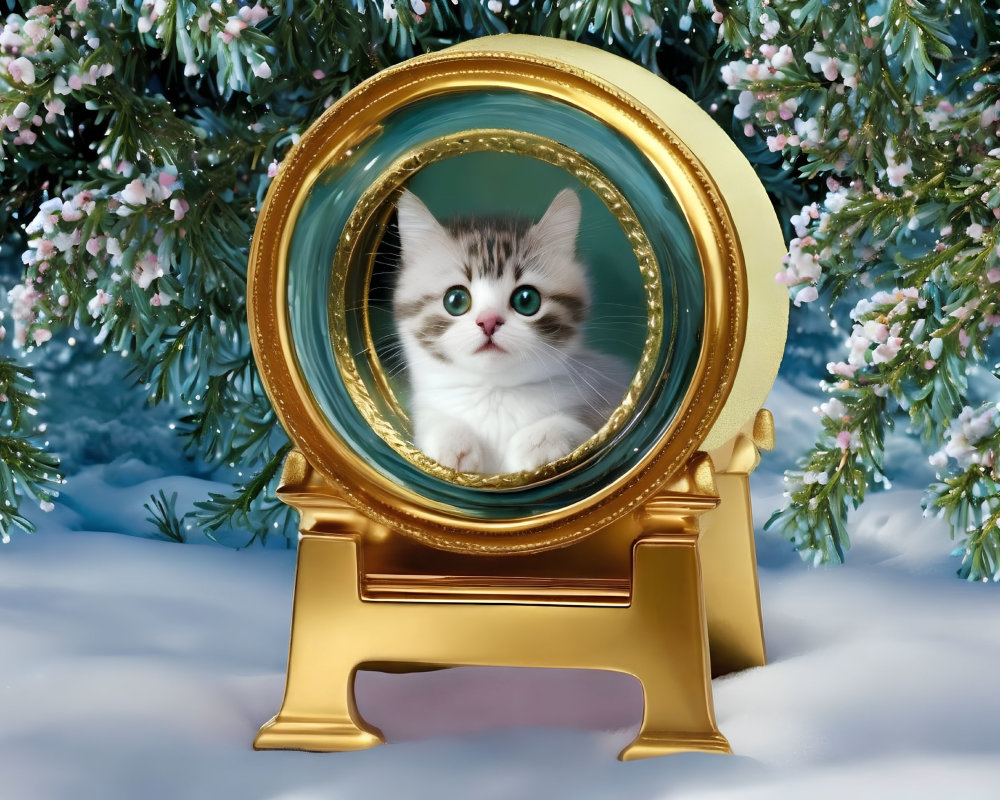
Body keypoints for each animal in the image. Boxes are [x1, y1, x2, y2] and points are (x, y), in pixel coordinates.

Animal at [394, 189, 628, 476]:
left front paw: (540, 441)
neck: (495, 393)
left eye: (526, 300)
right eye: (456, 300)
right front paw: (452, 441)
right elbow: (431, 421)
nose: (488, 321)